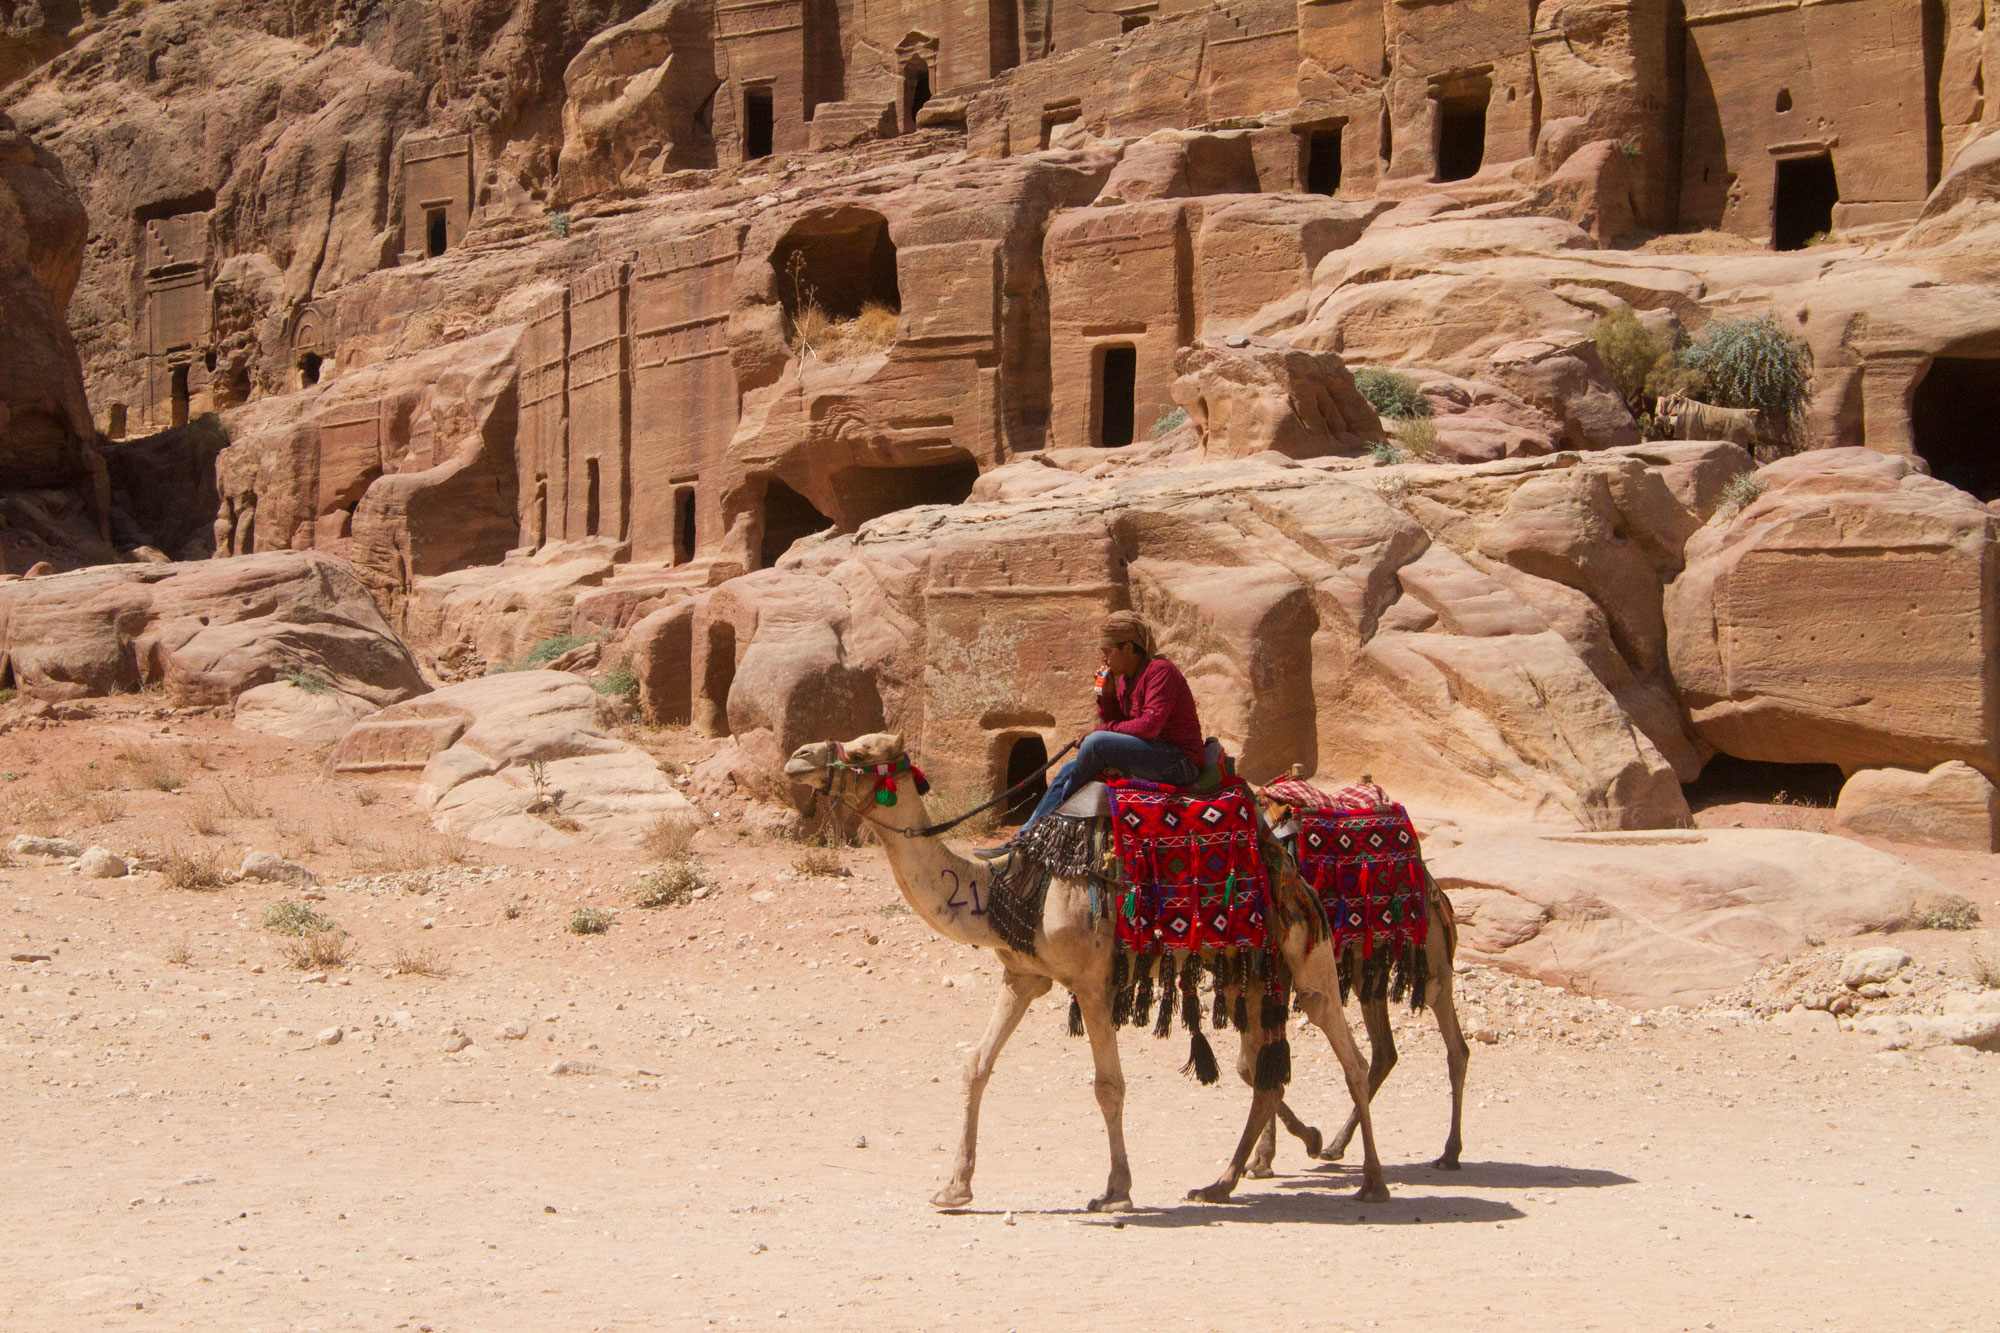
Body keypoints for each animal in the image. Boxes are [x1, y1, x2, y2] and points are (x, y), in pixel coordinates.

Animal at [783, 732, 1392, 1211]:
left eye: (866, 751)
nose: (797, 756)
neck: (1002, 888)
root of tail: (1290, 871)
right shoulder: (1023, 977)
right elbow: (976, 1066)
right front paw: (954, 1188)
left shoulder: (1093, 983)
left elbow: (1108, 1086)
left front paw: (1116, 1190)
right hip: (1248, 973)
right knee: (1263, 1072)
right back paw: (1222, 1182)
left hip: (1307, 957)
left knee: (1351, 1059)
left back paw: (1370, 1180)